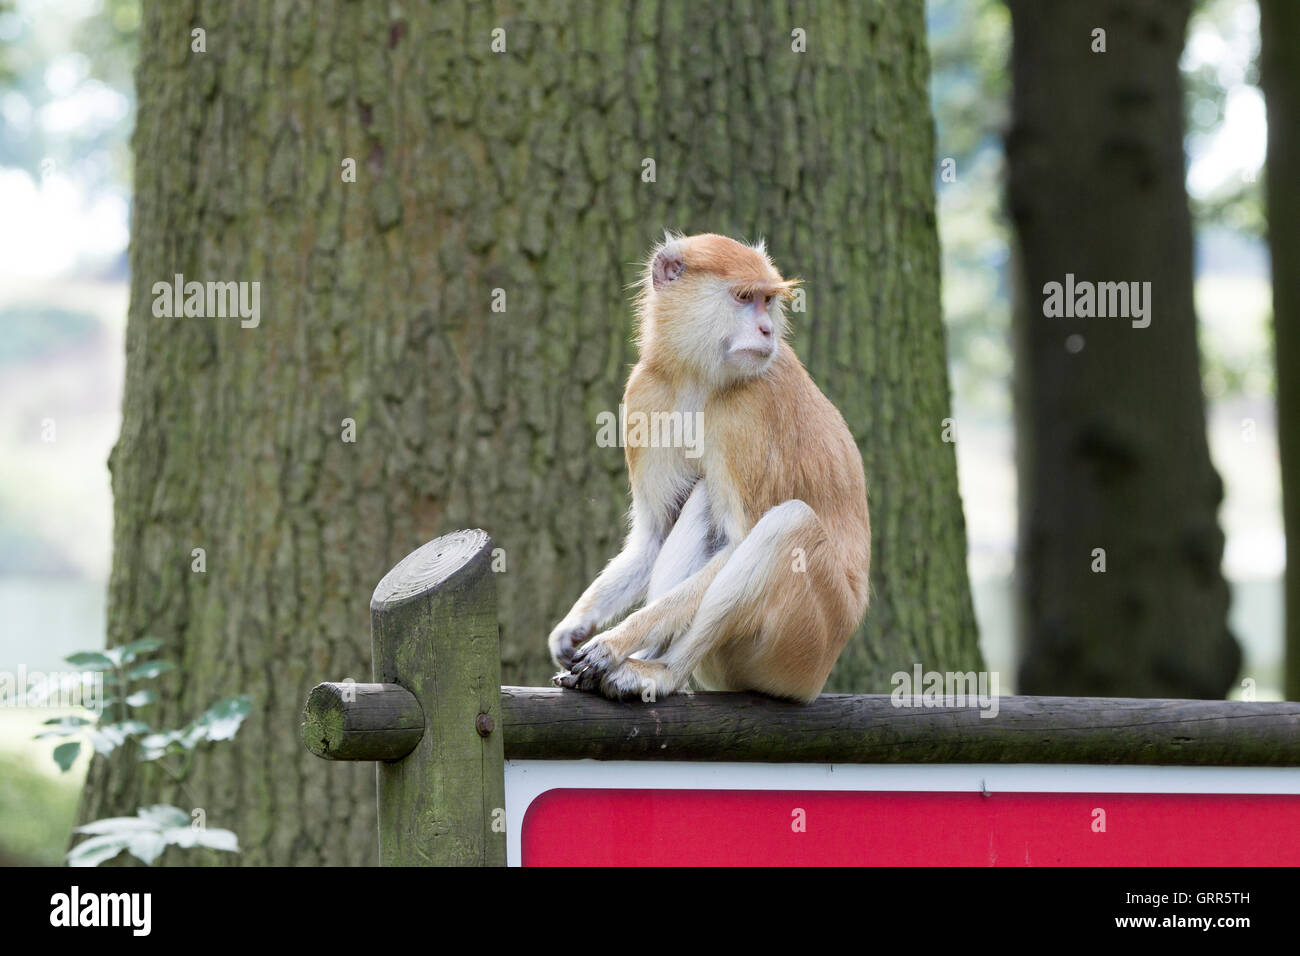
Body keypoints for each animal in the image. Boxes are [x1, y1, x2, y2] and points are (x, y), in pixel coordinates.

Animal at [548, 231, 873, 702]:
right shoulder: (645, 393)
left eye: (767, 301)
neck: (698, 376)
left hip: (804, 643)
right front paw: (571, 629)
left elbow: (740, 540)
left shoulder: (746, 409)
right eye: (743, 298)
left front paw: (612, 643)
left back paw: (661, 671)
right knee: (704, 501)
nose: (767, 330)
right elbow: (654, 536)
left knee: (788, 524)